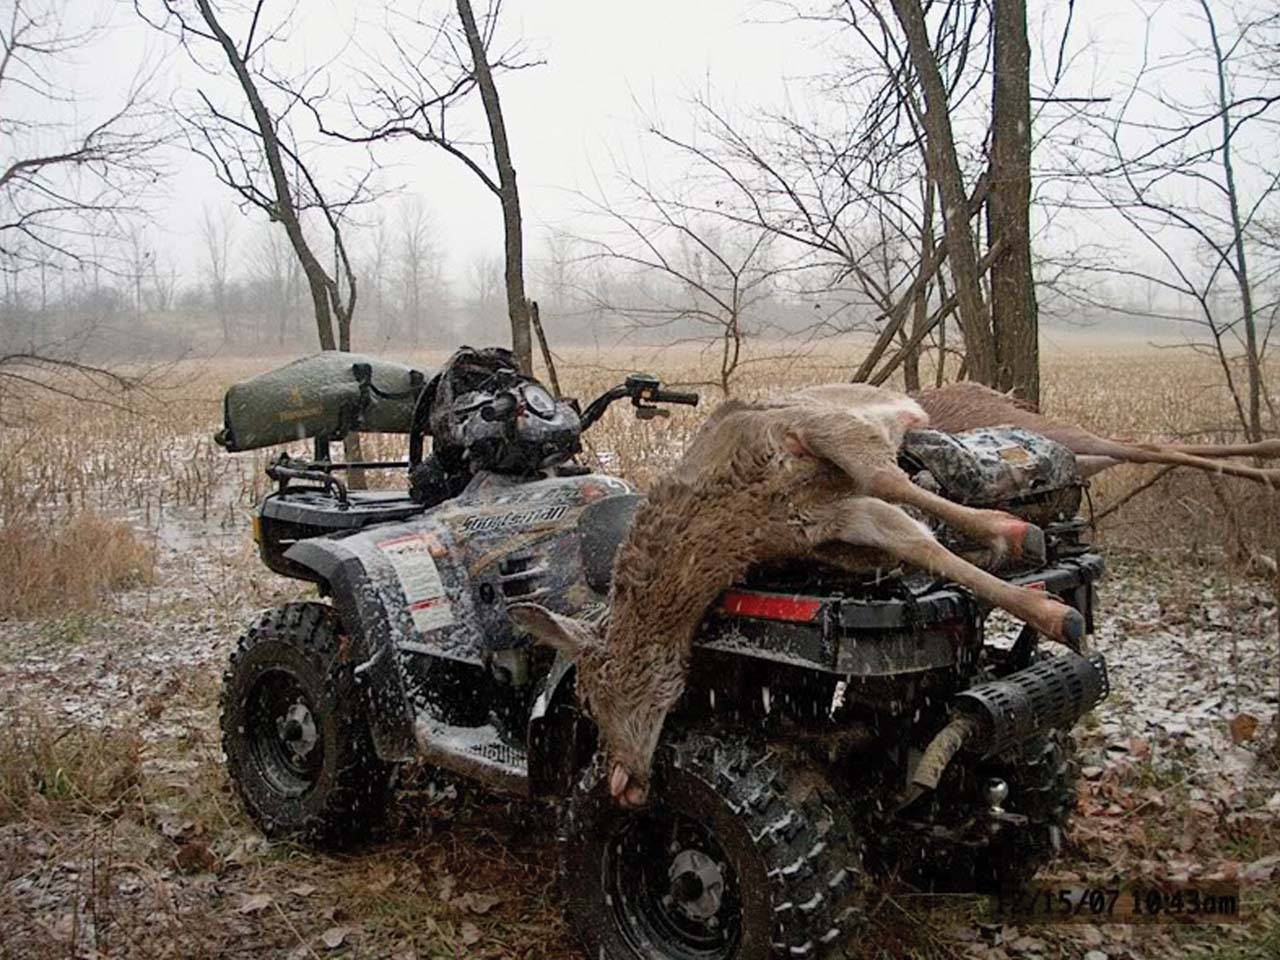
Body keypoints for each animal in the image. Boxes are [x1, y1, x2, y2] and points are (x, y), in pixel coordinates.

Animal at [509, 383, 1085, 809]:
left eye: (593, 692)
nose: (620, 783)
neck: (735, 520)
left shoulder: (808, 428)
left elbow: (887, 482)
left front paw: (1021, 546)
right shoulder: (823, 518)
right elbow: (910, 536)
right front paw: (1041, 593)